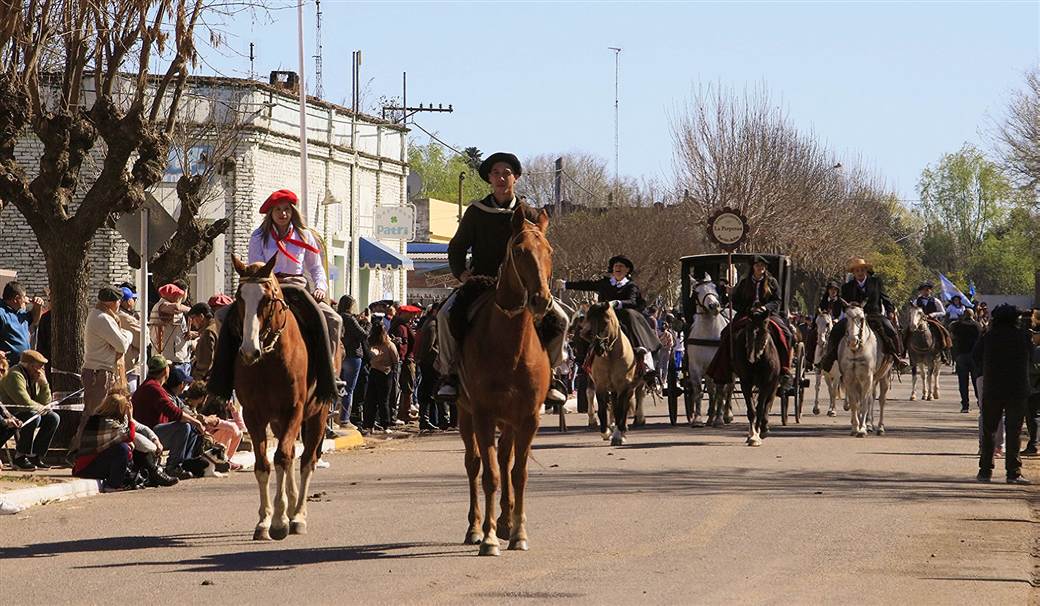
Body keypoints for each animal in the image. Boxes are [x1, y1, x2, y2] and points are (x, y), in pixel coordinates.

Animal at [230, 254, 336, 540]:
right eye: (240, 298)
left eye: (267, 299)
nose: (248, 350)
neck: (268, 361)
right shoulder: (253, 415)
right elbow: (264, 464)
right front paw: (265, 520)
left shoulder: (294, 410)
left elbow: (284, 457)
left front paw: (279, 521)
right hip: (278, 422)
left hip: (317, 415)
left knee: (307, 459)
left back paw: (297, 515)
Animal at [455, 205, 553, 557]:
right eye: (520, 251)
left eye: (549, 251)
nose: (541, 300)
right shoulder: (483, 414)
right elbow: (491, 476)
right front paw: (488, 538)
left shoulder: (528, 417)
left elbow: (518, 473)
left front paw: (518, 532)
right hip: (465, 413)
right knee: (474, 464)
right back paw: (475, 527)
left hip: (509, 420)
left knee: (505, 457)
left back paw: (507, 521)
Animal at [686, 276, 736, 428]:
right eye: (696, 292)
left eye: (715, 287)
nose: (714, 306)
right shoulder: (695, 367)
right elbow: (699, 391)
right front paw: (698, 419)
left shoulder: (721, 366)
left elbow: (720, 391)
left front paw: (719, 418)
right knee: (711, 389)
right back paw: (710, 415)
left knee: (729, 388)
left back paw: (726, 414)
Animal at [732, 309, 782, 449]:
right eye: (748, 331)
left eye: (764, 332)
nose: (751, 358)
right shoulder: (745, 383)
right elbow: (751, 410)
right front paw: (752, 436)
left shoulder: (766, 384)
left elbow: (760, 408)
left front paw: (758, 435)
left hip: (773, 384)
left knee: (768, 403)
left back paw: (764, 428)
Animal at [836, 307, 894, 436]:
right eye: (846, 318)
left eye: (861, 318)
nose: (853, 341)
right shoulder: (849, 378)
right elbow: (855, 403)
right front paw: (855, 427)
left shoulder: (867, 378)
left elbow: (864, 403)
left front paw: (862, 429)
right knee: (870, 398)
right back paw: (869, 424)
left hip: (884, 376)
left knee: (881, 400)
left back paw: (880, 427)